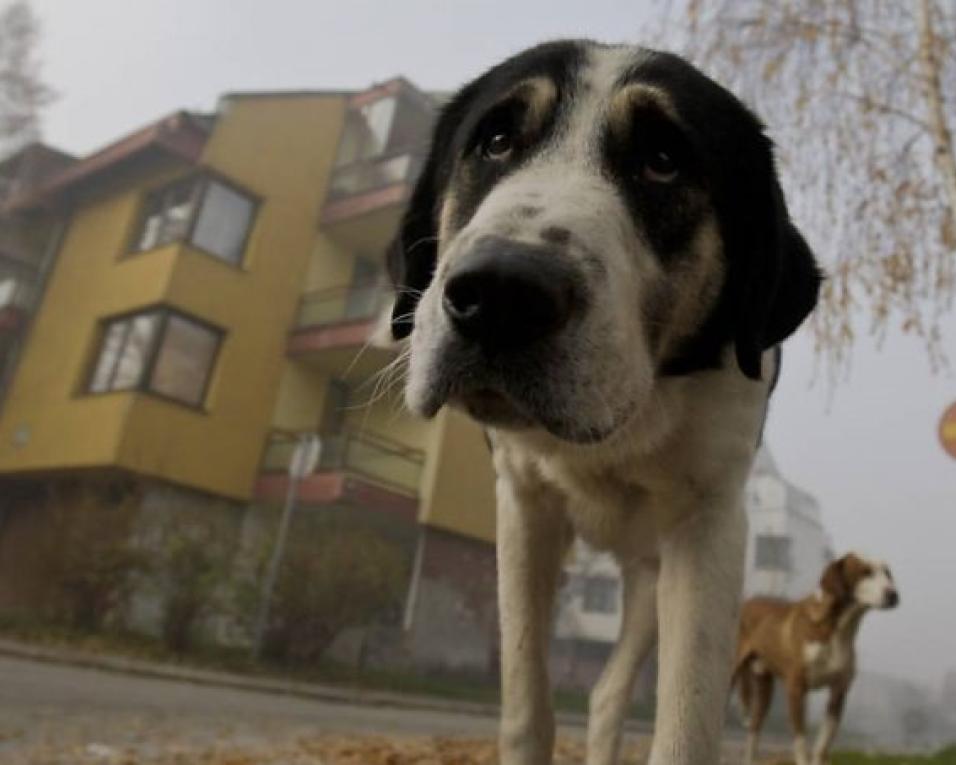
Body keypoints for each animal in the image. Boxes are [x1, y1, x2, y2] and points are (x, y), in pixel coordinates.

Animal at [384, 41, 816, 764]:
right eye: (495, 141)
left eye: (663, 159)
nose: (500, 292)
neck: (626, 418)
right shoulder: (524, 504)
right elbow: (526, 702)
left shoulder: (709, 525)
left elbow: (685, 725)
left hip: (649, 578)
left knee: (613, 691)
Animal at [736, 552, 900, 764]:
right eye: (865, 572)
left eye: (887, 573)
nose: (894, 595)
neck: (838, 630)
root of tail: (746, 603)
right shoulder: (796, 689)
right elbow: (800, 742)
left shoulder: (838, 693)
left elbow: (822, 747)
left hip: (765, 686)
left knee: (754, 728)